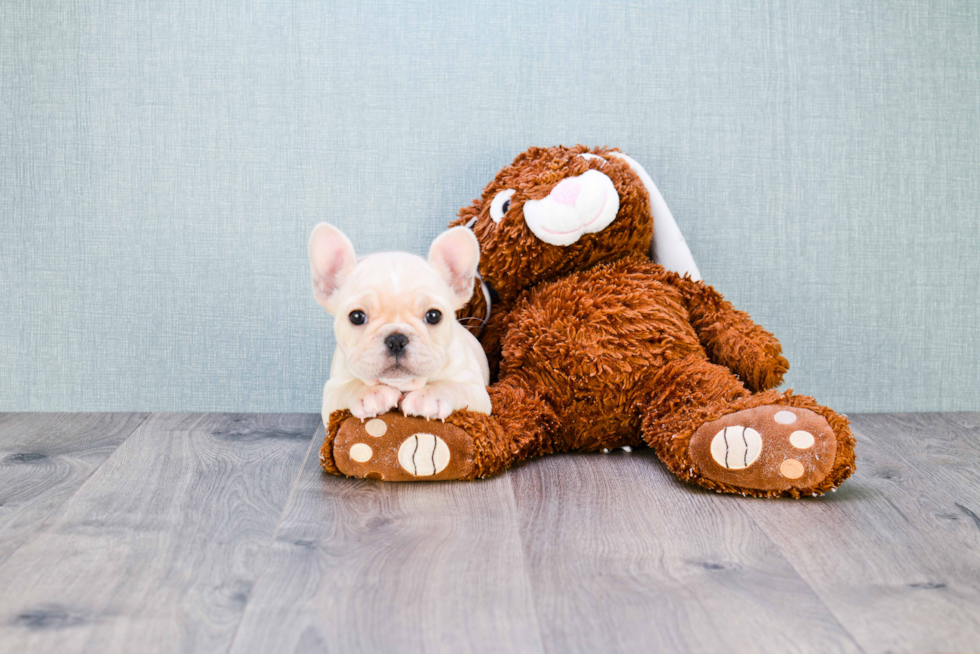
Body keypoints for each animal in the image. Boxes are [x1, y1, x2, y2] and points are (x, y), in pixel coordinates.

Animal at [310, 224, 490, 426]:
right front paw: (370, 393)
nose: (396, 340)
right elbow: (349, 386)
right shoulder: (331, 395)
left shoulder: (476, 391)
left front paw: (428, 396)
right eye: (356, 317)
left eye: (434, 316)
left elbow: (451, 385)